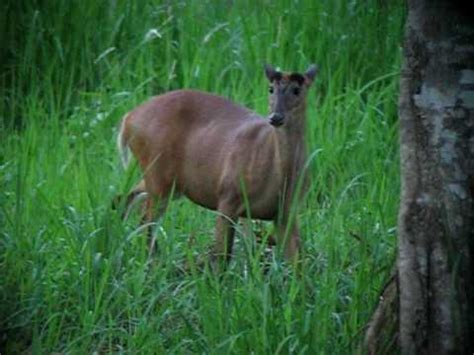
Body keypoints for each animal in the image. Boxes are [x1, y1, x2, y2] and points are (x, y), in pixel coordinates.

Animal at [117, 63, 318, 268]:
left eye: (297, 89)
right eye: (271, 89)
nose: (275, 117)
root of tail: (128, 118)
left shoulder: (287, 212)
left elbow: (298, 262)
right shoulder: (229, 194)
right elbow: (223, 256)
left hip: (168, 181)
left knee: (127, 199)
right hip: (158, 174)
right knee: (145, 219)